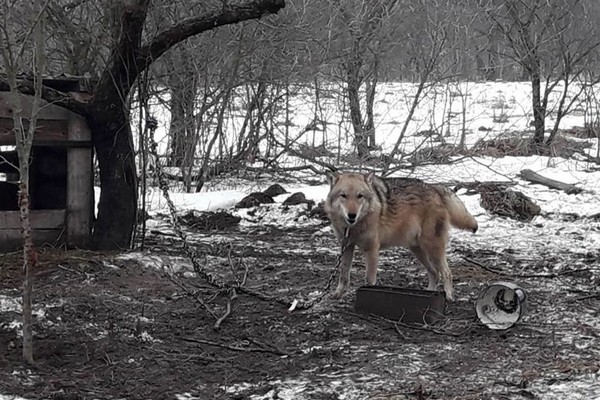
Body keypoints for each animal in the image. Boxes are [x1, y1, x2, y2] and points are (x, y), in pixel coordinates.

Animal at [324, 172, 478, 300]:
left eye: (359, 196)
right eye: (343, 195)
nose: (352, 215)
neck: (352, 228)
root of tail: (434, 187)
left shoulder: (372, 249)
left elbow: (369, 279)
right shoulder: (346, 246)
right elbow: (343, 274)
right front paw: (338, 294)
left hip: (432, 249)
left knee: (447, 272)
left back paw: (449, 297)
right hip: (418, 250)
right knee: (435, 273)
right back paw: (429, 292)